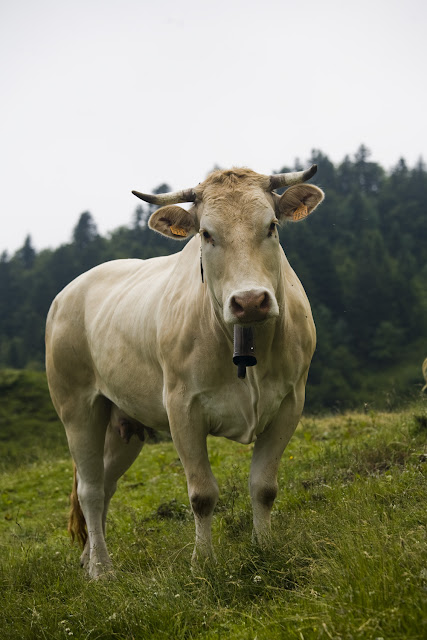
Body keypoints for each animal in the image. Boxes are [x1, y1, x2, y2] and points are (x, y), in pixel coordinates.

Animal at [45, 164, 324, 578]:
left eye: (272, 226)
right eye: (206, 234)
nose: (249, 301)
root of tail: (69, 292)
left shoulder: (290, 402)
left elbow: (264, 486)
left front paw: (265, 547)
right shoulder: (182, 409)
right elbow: (202, 494)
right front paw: (203, 562)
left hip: (122, 422)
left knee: (105, 483)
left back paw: (88, 558)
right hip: (77, 409)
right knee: (90, 491)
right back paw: (101, 569)